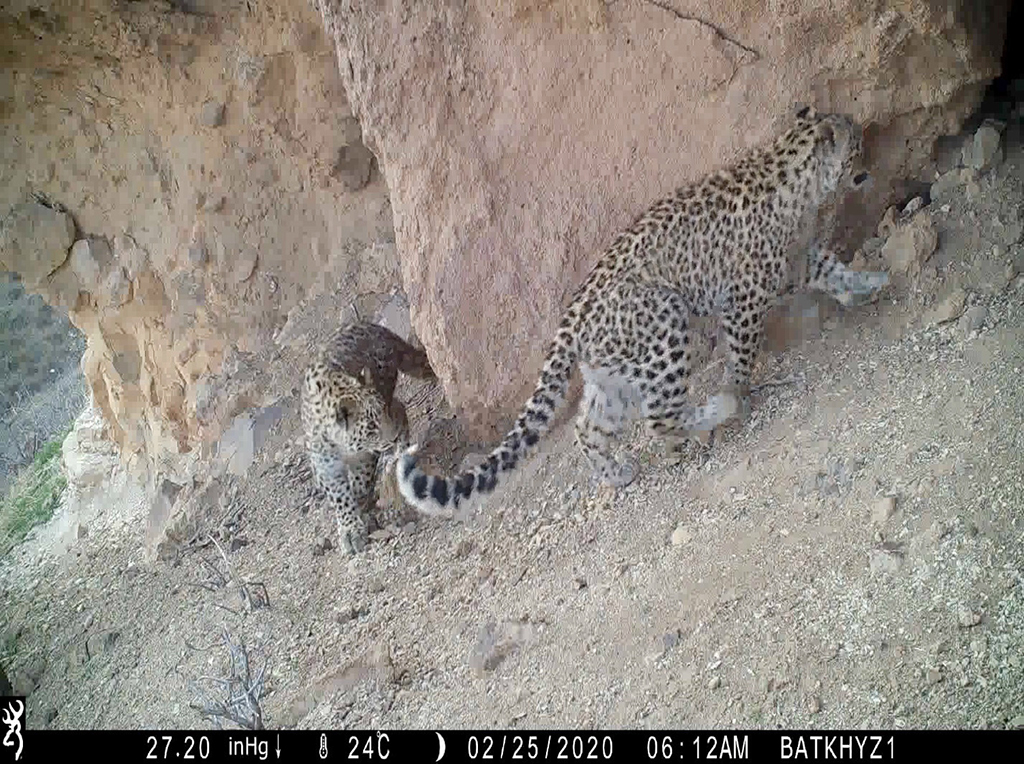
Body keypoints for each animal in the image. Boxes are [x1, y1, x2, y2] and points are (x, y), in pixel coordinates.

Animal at [301, 321, 435, 554]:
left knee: (401, 411)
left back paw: (398, 453)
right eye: (371, 426)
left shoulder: (365, 454)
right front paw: (350, 528)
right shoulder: (326, 464)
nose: (392, 437)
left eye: (381, 414)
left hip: (388, 391)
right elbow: (340, 496)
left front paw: (360, 501)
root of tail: (372, 326)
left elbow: (360, 482)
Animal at [396, 106, 890, 517]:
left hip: (612, 375)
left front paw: (868, 285)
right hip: (665, 327)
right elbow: (743, 354)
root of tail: (570, 319)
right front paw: (741, 389)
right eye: (856, 147)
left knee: (588, 428)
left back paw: (619, 473)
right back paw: (718, 410)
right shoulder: (744, 298)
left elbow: (833, 269)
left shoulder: (797, 261)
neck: (793, 174)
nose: (869, 163)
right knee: (659, 415)